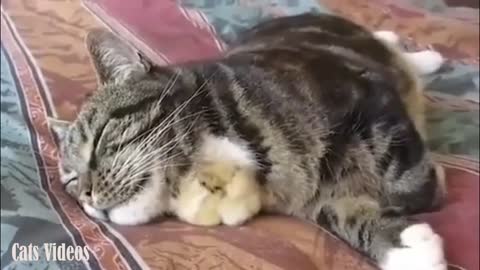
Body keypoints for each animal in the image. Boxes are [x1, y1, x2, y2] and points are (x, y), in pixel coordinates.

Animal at [48, 14, 446, 270]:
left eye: (100, 138)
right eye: (70, 181)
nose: (86, 195)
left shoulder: (367, 96)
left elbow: (409, 181)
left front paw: (429, 187)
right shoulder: (309, 198)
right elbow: (337, 212)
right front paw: (398, 242)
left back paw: (422, 55)